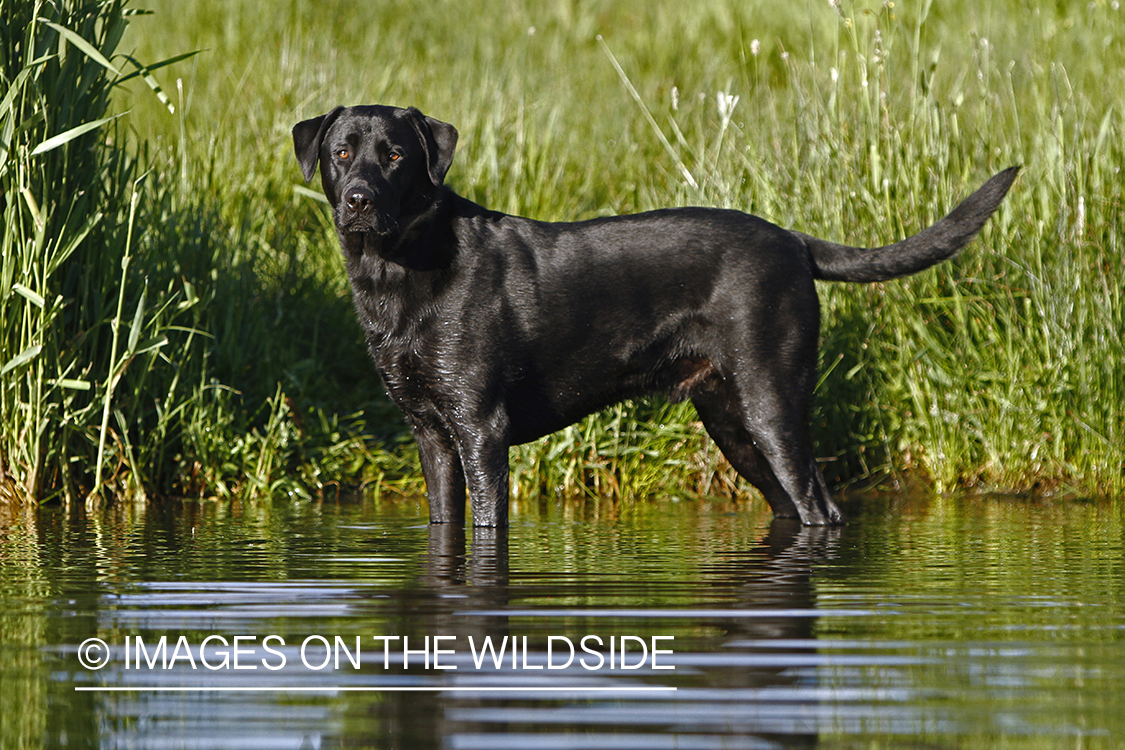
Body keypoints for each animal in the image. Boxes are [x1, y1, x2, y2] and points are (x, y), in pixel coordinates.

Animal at [292, 104, 1021, 528]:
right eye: (339, 153)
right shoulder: (431, 436)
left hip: (771, 404)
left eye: (395, 155)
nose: (359, 200)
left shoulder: (481, 431)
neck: (396, 271)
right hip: (730, 423)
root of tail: (793, 241)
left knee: (821, 507)